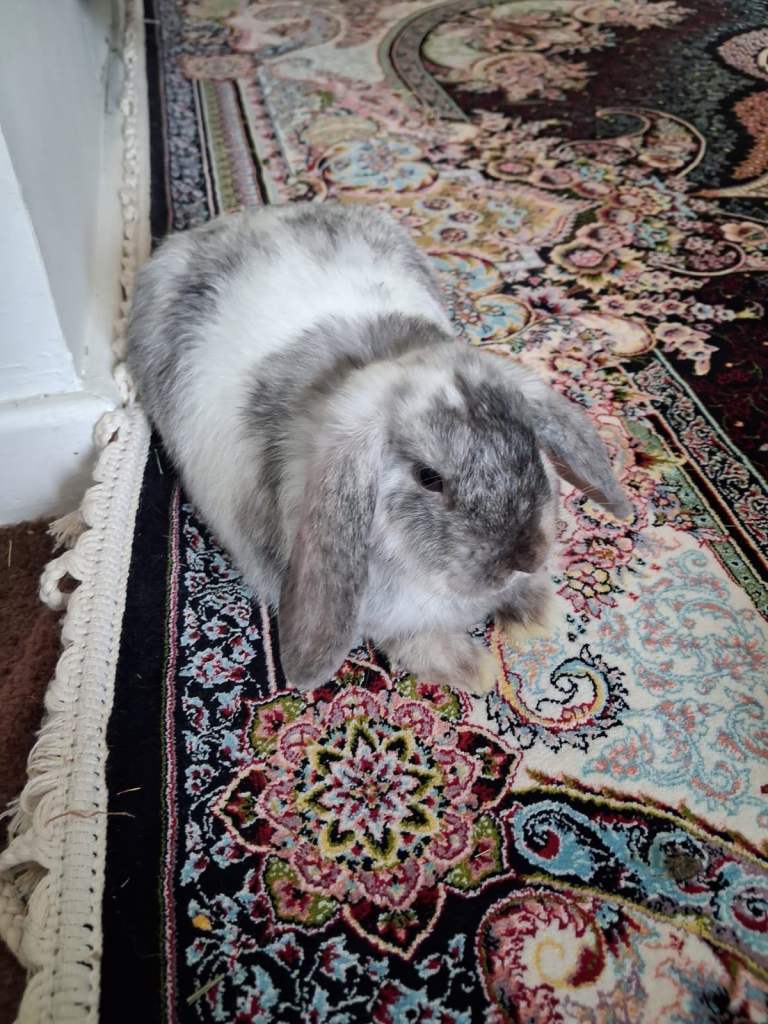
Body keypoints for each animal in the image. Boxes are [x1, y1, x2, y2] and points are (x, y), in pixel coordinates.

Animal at [127, 202, 631, 694]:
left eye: (527, 439)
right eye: (429, 477)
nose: (524, 557)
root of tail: (239, 220)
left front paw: (536, 611)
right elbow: (415, 641)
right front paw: (474, 669)